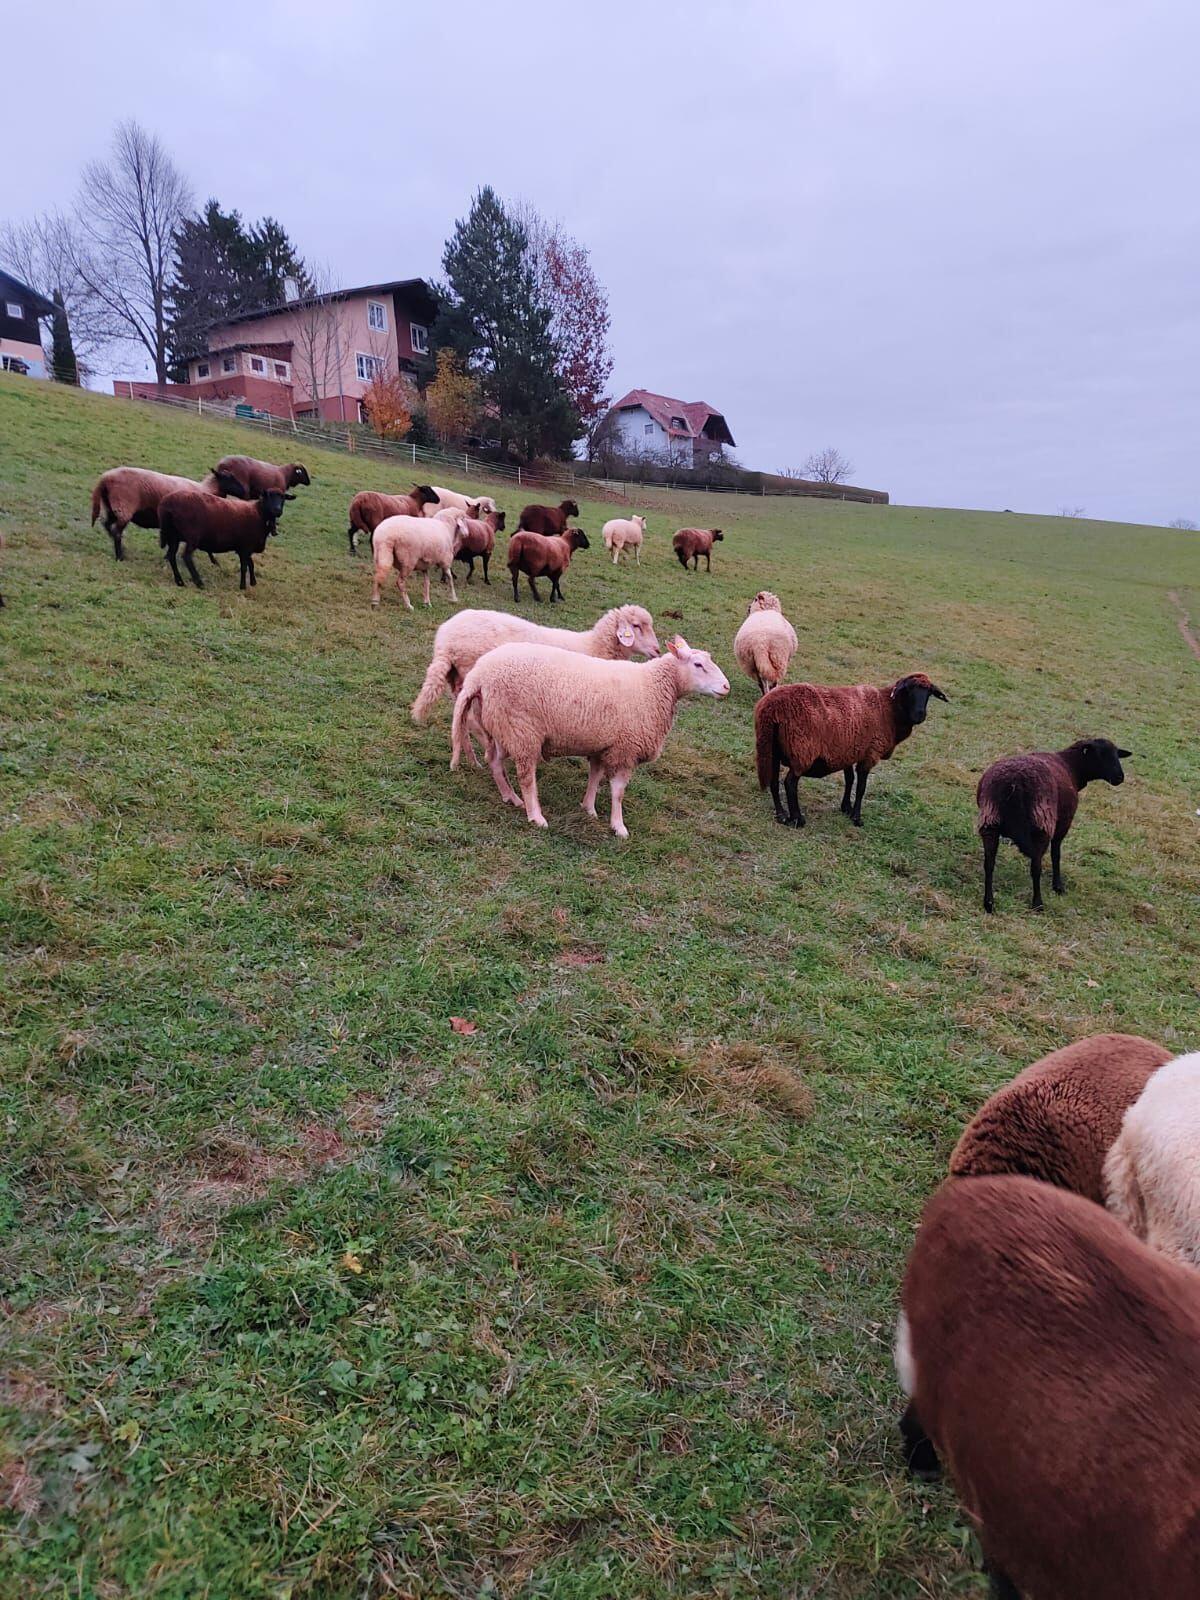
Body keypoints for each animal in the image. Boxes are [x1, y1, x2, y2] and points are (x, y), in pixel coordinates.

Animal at [90, 467, 242, 562]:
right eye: (229, 478)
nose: (243, 491)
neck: (207, 489)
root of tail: (105, 478)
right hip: (124, 507)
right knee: (116, 531)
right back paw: (120, 556)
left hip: (112, 506)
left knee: (107, 524)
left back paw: (121, 549)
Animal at [158, 487, 290, 590]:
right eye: (268, 496)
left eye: (283, 498)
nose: (277, 510)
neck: (259, 513)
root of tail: (167, 504)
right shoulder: (245, 547)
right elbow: (244, 567)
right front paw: (243, 586)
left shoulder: (244, 548)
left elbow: (251, 564)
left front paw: (253, 582)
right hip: (192, 536)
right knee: (186, 557)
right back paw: (199, 583)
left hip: (173, 535)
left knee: (171, 556)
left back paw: (179, 581)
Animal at [449, 635, 730, 838]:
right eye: (698, 665)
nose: (727, 687)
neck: (652, 686)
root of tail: (478, 674)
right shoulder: (626, 749)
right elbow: (618, 791)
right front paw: (618, 826)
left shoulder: (603, 746)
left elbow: (595, 777)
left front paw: (589, 808)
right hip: (522, 730)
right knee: (526, 776)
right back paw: (535, 815)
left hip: (500, 725)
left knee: (495, 762)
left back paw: (511, 797)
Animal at [755, 672, 947, 829]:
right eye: (908, 689)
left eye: (929, 693)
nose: (919, 715)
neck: (888, 710)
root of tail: (770, 707)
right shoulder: (870, 753)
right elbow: (861, 787)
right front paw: (856, 817)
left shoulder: (848, 751)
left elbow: (849, 780)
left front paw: (846, 807)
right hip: (802, 750)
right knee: (790, 783)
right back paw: (797, 819)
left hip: (771, 748)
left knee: (773, 781)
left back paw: (781, 815)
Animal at [977, 738, 1132, 913]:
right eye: (1100, 754)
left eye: (1117, 754)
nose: (1119, 777)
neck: (1070, 766)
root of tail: (1014, 784)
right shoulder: (1062, 824)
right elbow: (1056, 854)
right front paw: (1058, 886)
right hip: (1042, 825)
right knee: (1035, 867)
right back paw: (1038, 903)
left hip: (990, 821)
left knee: (989, 864)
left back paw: (989, 903)